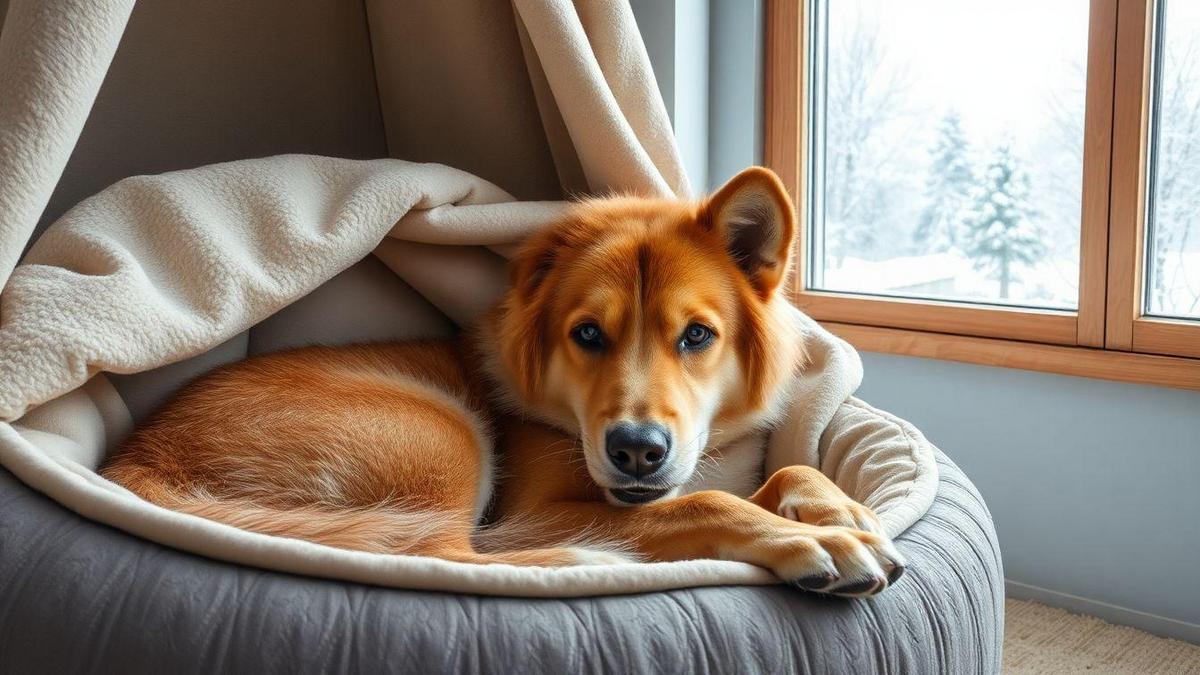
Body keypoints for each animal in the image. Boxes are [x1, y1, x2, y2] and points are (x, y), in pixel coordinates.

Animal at [103, 164, 902, 593]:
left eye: (697, 335)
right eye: (588, 334)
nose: (636, 450)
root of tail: (134, 461)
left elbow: (782, 471)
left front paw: (841, 510)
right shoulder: (538, 511)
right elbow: (705, 502)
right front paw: (816, 538)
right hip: (443, 436)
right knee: (440, 554)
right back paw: (577, 561)